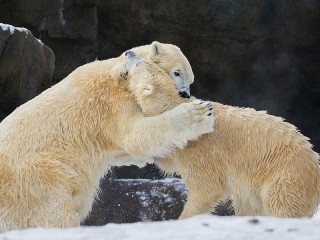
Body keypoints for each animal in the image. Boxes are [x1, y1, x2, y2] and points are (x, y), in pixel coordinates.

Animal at [0, 41, 215, 231]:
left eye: (191, 80)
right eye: (177, 72)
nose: (185, 94)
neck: (119, 73)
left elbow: (124, 149)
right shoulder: (111, 101)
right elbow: (134, 135)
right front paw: (200, 113)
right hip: (43, 176)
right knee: (55, 212)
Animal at [120, 51, 320, 219]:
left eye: (139, 63)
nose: (129, 52)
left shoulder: (201, 151)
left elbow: (206, 189)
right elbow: (167, 155)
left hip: (285, 176)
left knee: (281, 204)